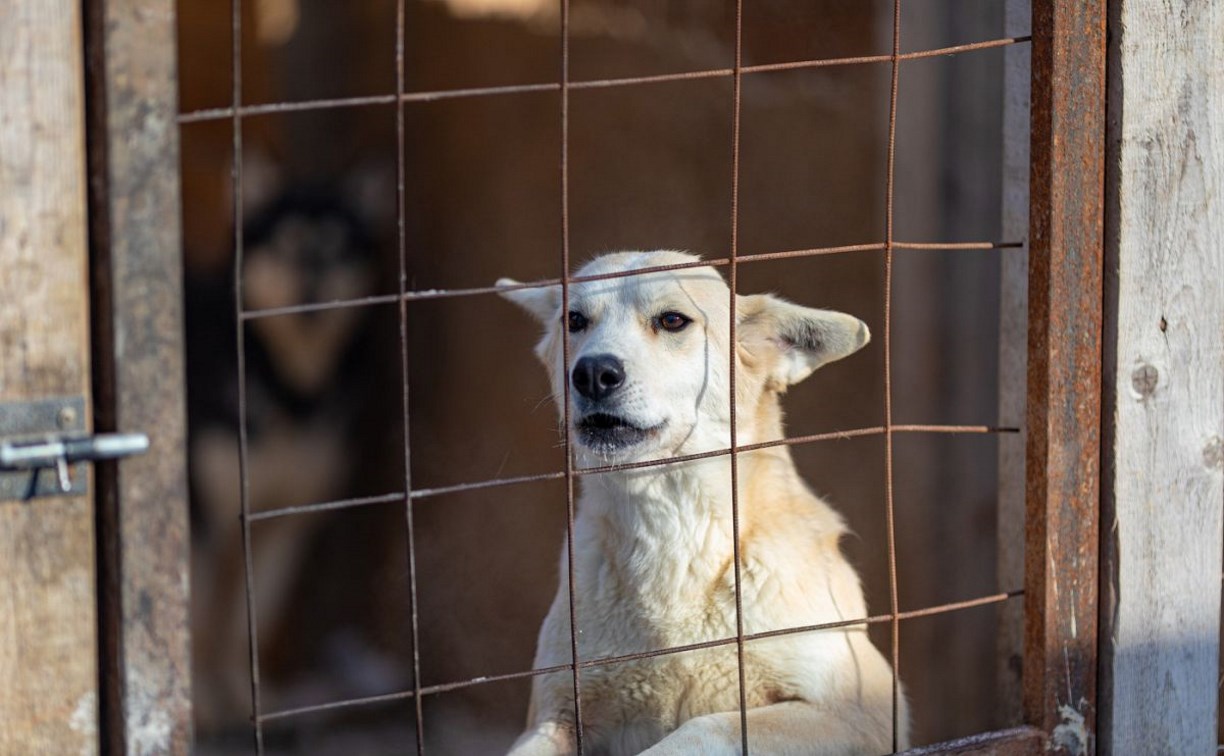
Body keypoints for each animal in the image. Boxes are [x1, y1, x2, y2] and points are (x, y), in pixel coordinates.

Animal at [496, 253, 910, 753]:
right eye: (574, 320)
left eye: (673, 320)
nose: (592, 373)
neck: (669, 532)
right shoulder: (552, 716)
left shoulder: (867, 711)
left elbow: (706, 726)